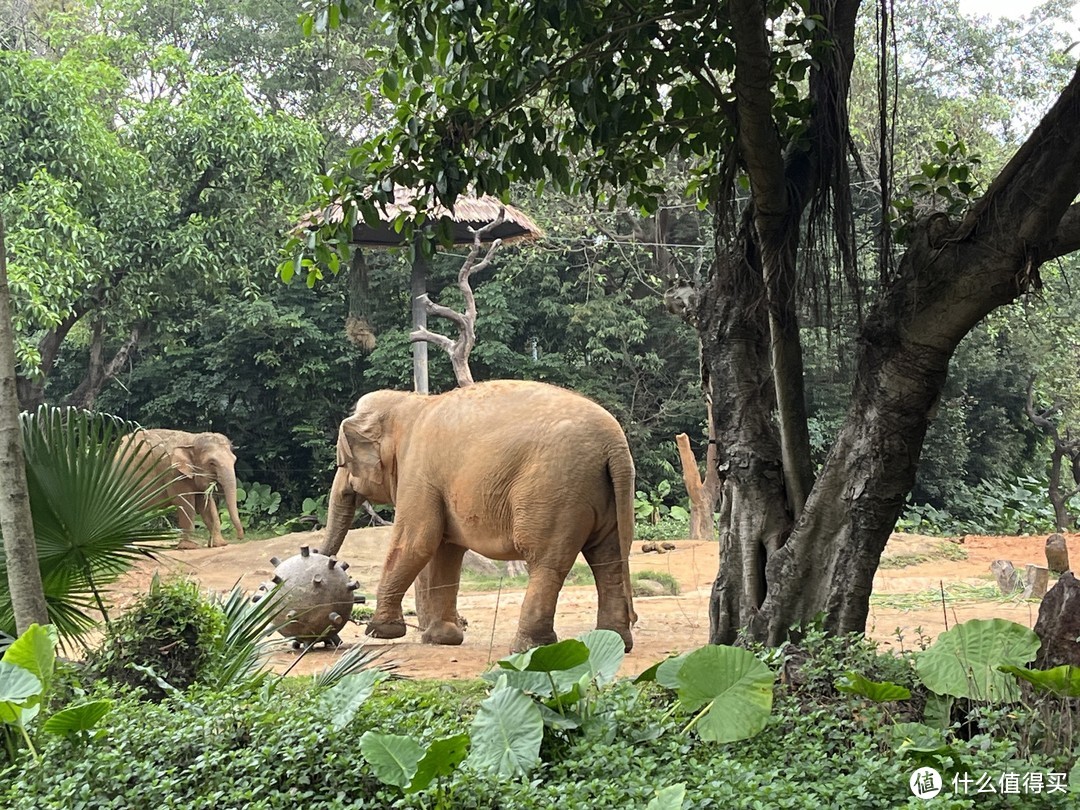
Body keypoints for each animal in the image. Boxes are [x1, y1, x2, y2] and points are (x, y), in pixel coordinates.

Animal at [324, 380, 635, 652]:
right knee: (608, 559)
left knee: (547, 563)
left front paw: (380, 632)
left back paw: (528, 647)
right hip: (602, 492)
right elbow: (446, 551)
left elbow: (417, 542)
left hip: (554, 489)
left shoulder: (418, 472)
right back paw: (615, 642)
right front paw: (443, 639)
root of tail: (614, 443)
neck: (409, 403)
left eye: (343, 463)